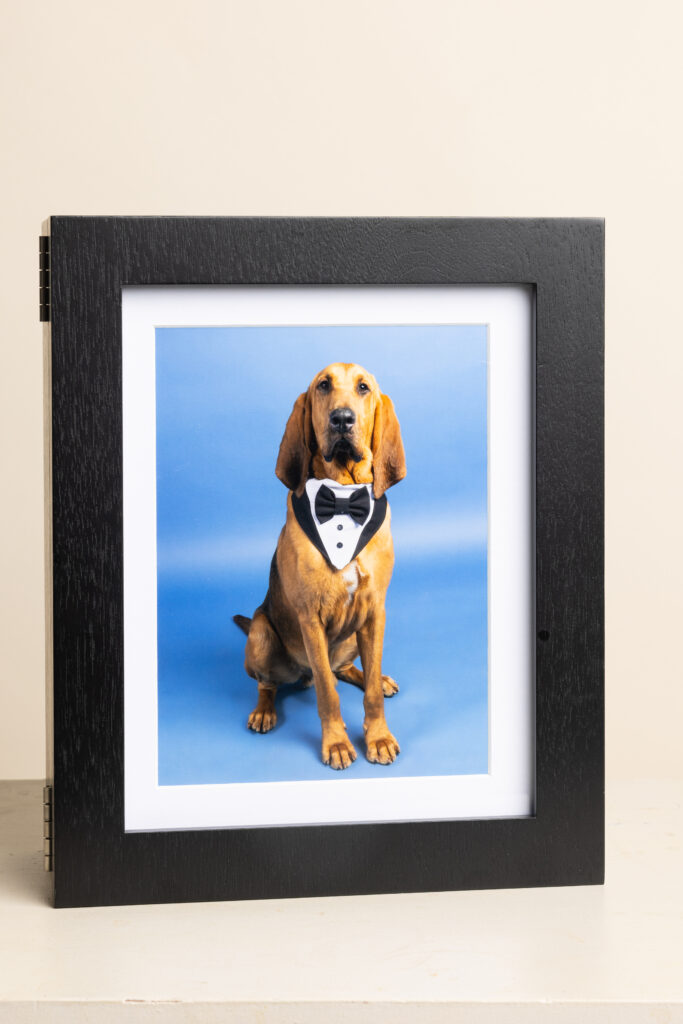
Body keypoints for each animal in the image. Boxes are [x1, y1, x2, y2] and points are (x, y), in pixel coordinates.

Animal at [235, 360, 405, 770]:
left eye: (363, 388)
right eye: (323, 386)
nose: (341, 419)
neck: (342, 498)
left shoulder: (375, 612)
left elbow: (369, 689)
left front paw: (377, 736)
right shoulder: (310, 617)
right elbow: (328, 692)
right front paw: (338, 743)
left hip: (356, 637)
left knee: (348, 668)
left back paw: (379, 678)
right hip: (261, 635)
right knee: (270, 683)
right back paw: (264, 711)